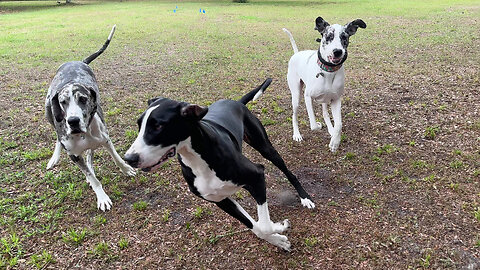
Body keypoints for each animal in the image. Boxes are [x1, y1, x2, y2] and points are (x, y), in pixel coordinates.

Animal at [45, 25, 135, 211]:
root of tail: (79, 61)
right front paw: (102, 197)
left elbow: (116, 158)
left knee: (90, 153)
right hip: (48, 110)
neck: (82, 135)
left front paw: (126, 169)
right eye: (63, 102)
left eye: (83, 99)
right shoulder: (73, 155)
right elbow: (93, 179)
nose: (73, 121)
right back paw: (55, 157)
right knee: (57, 135)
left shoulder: (105, 139)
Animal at [124, 78, 316, 251]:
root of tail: (236, 102)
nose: (128, 158)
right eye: (139, 125)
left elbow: (264, 225)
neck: (198, 160)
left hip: (265, 147)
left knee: (288, 172)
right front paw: (279, 239)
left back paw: (304, 198)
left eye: (158, 126)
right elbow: (256, 227)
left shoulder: (256, 175)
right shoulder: (221, 200)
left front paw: (279, 226)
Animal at [284, 16, 366, 152]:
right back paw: (297, 134)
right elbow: (313, 125)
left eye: (344, 37)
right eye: (329, 37)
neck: (328, 71)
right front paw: (318, 124)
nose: (338, 51)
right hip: (296, 95)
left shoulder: (336, 99)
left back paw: (330, 130)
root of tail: (296, 53)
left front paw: (335, 142)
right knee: (294, 115)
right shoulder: (307, 97)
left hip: (325, 98)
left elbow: (339, 124)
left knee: (325, 113)